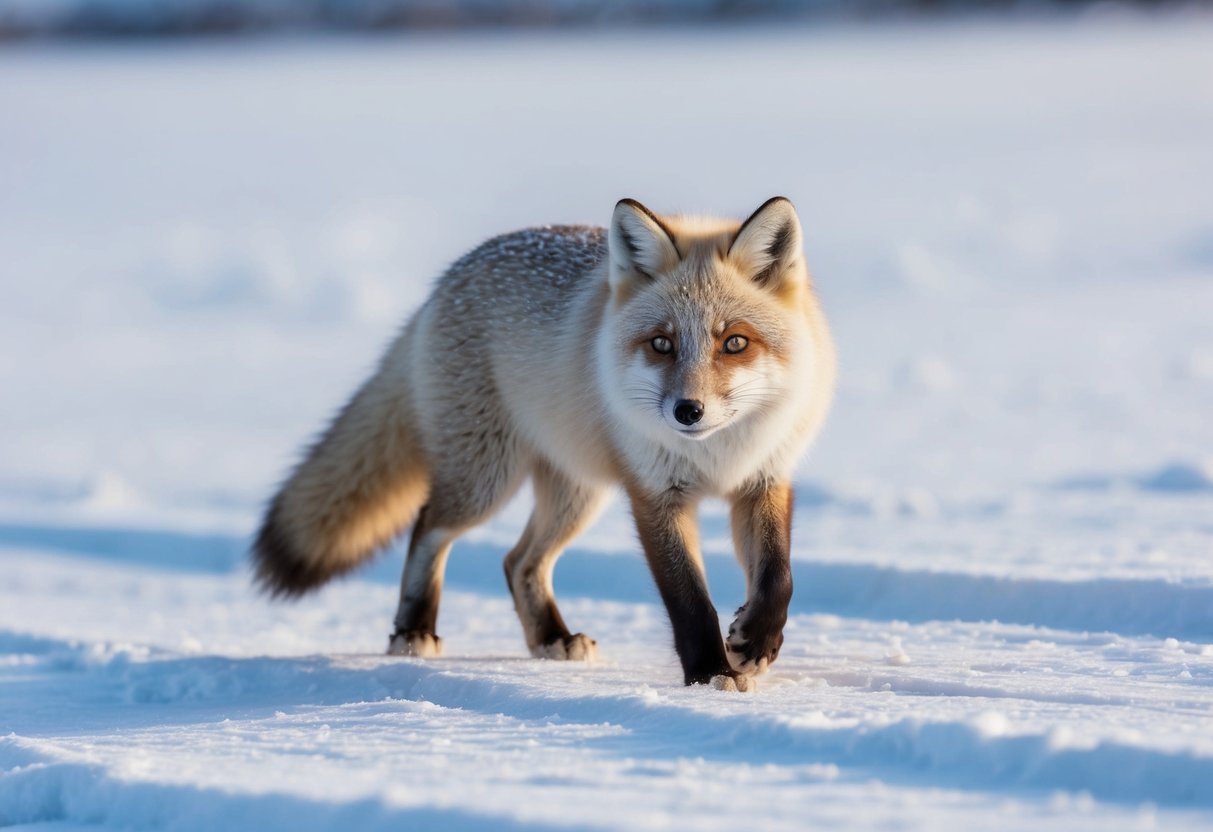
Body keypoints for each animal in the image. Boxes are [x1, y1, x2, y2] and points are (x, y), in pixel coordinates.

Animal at [253, 196, 835, 691]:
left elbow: (778, 577)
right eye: (662, 343)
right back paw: (413, 630)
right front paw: (710, 673)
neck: (715, 454)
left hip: (577, 493)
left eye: (734, 342)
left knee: (519, 562)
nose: (687, 411)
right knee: (427, 527)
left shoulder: (764, 479)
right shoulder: (654, 495)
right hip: (486, 482)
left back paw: (552, 638)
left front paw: (755, 643)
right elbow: (688, 599)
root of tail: (450, 276)